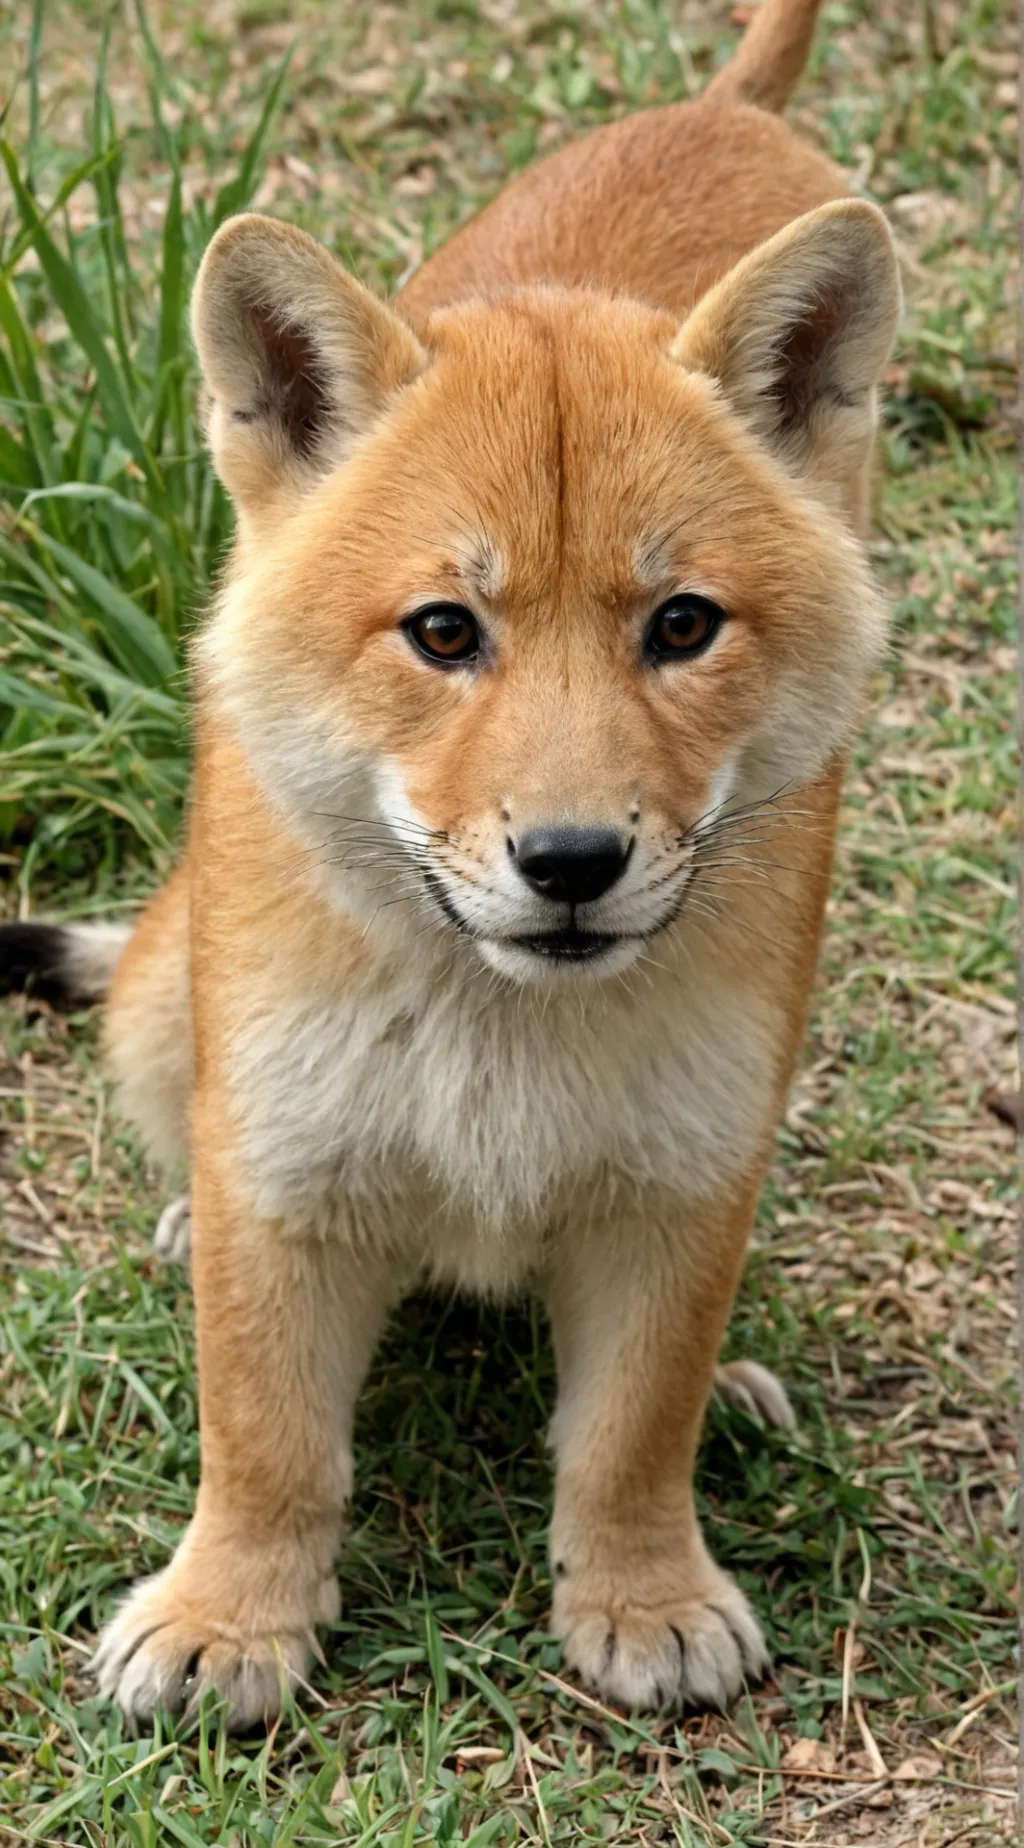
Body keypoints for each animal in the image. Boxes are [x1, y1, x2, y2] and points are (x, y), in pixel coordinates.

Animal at [1, 0, 900, 1726]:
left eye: (682, 624)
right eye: (441, 631)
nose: (571, 860)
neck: (496, 1021)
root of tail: (724, 106)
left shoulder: (685, 1179)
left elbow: (632, 1427)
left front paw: (643, 1587)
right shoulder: (285, 1168)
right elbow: (266, 1437)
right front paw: (230, 1616)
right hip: (154, 1000)